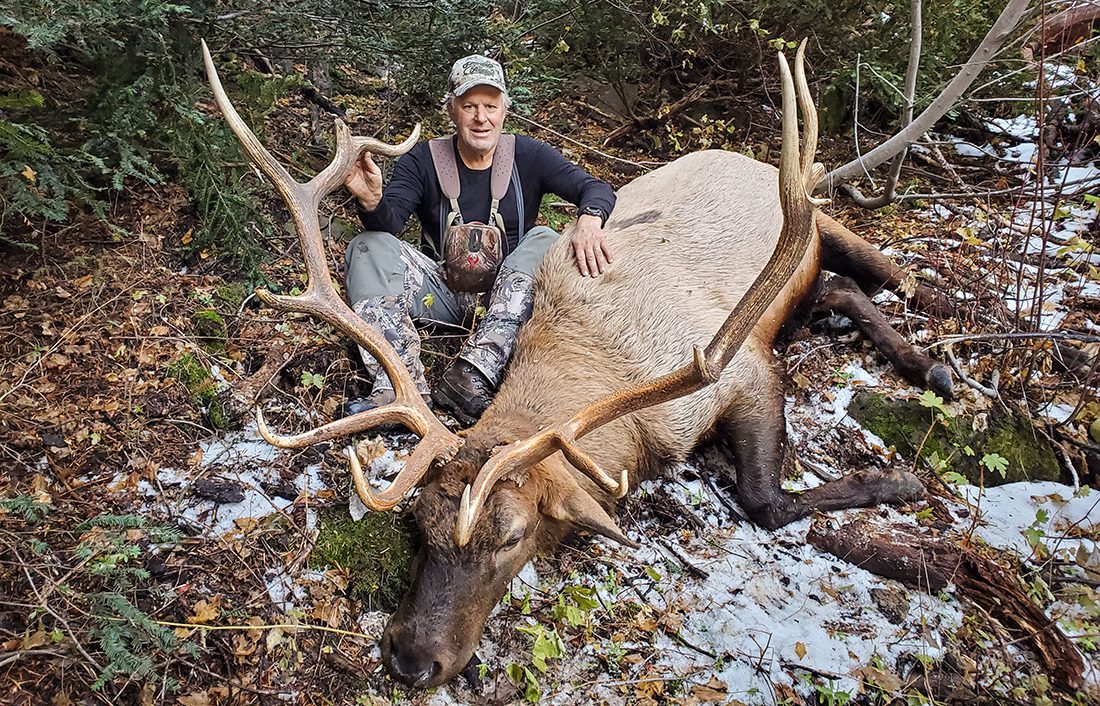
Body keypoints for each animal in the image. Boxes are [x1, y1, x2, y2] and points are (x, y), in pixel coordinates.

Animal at [202, 40, 950, 688]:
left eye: (512, 537)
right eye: (419, 525)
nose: (410, 660)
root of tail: (750, 158)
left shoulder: (741, 368)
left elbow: (765, 500)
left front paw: (902, 492)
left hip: (817, 218)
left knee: (880, 268)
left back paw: (934, 336)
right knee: (839, 289)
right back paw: (929, 365)